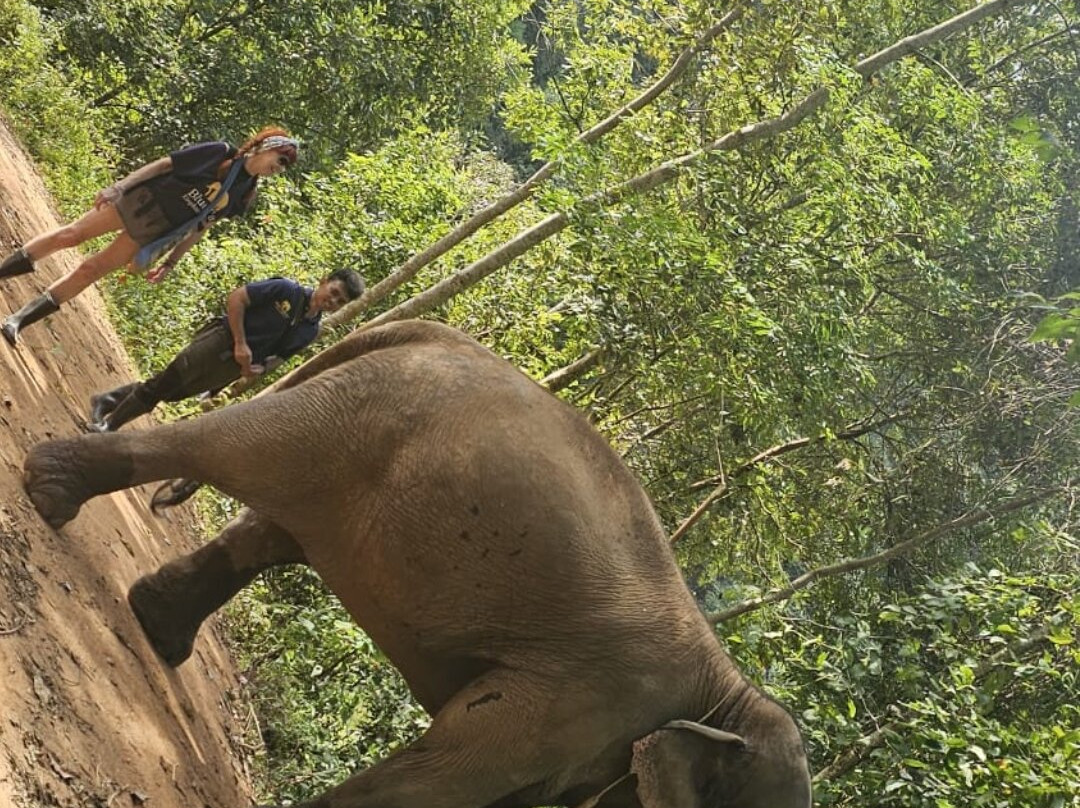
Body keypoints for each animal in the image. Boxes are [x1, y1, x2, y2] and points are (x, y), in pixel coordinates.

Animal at [23, 320, 812, 808]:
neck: (732, 693)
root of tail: (428, 331)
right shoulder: (583, 702)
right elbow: (439, 779)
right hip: (356, 413)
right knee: (232, 451)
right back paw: (52, 491)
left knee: (275, 532)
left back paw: (159, 627)